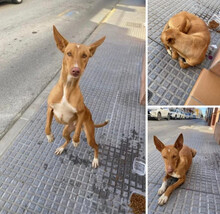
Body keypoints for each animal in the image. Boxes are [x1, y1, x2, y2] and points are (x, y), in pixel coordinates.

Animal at [45, 25, 108, 168]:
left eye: (84, 55)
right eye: (69, 53)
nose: (76, 70)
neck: (67, 88)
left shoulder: (81, 112)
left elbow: (78, 130)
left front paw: (77, 140)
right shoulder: (50, 108)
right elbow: (47, 125)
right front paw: (49, 136)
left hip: (89, 134)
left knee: (95, 145)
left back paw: (95, 159)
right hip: (65, 130)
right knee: (67, 139)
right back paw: (61, 148)